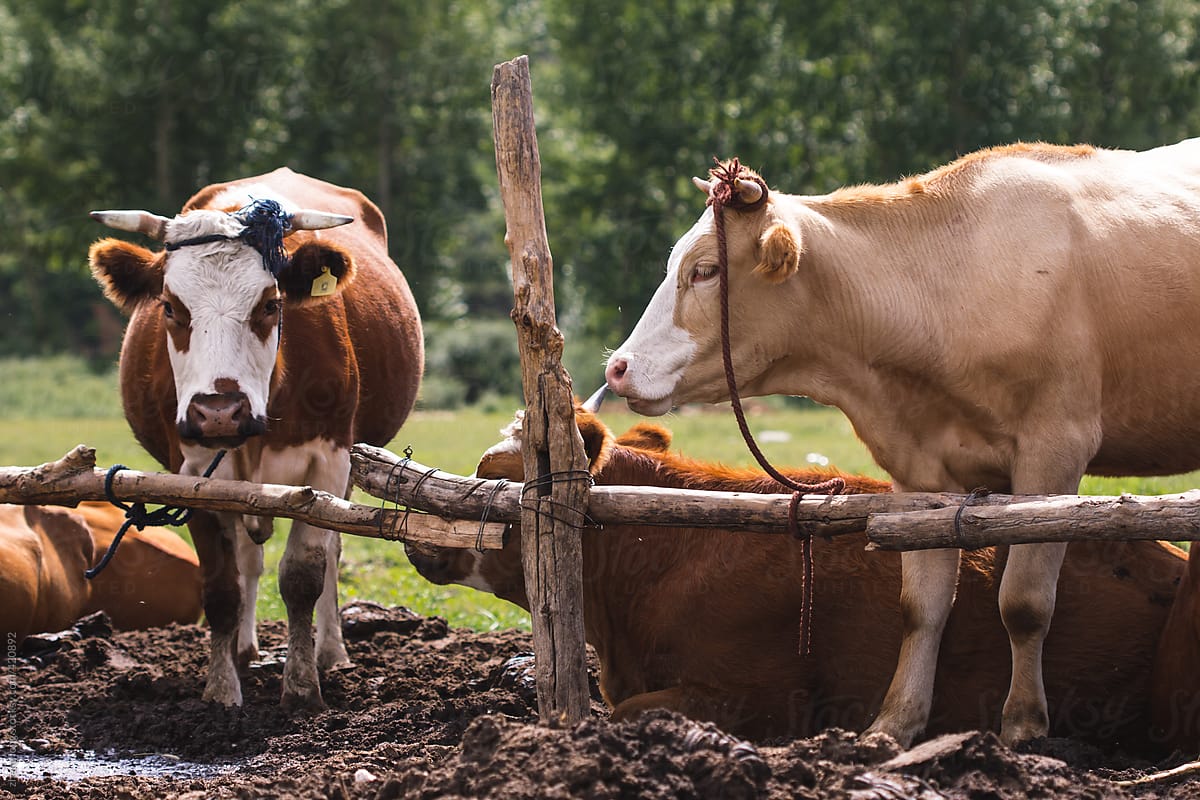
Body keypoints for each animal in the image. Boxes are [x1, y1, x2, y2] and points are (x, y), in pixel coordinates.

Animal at [87, 167, 422, 705]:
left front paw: (302, 685)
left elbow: (305, 575)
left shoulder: (329, 464)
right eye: (170, 308)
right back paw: (244, 649)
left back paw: (331, 652)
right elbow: (222, 586)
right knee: (248, 560)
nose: (219, 412)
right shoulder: (189, 476)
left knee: (331, 553)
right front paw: (222, 687)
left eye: (269, 304)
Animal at [604, 140, 1200, 748]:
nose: (618, 368)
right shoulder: (921, 475)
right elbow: (921, 608)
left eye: (705, 270)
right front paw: (893, 724)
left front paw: (1023, 725)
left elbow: (1024, 602)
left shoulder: (1054, 452)